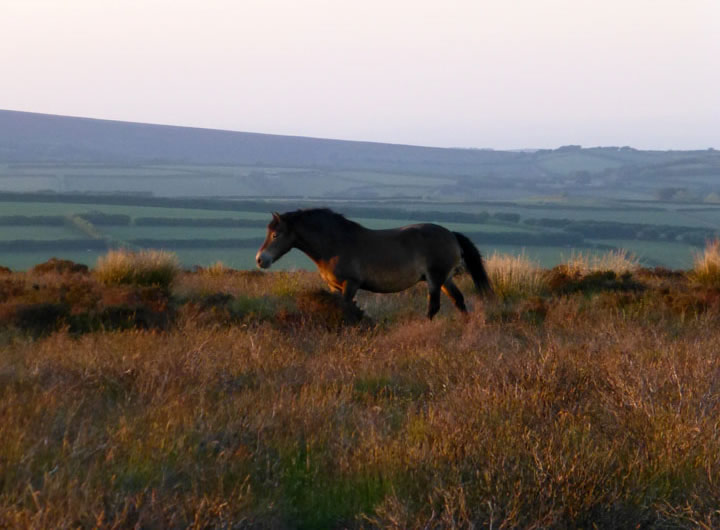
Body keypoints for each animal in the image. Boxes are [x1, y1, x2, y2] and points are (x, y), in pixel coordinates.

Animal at [255, 208, 493, 319]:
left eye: (276, 234)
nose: (260, 260)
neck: (335, 244)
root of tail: (451, 235)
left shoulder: (350, 284)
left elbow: (347, 308)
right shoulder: (334, 287)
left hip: (435, 279)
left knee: (433, 307)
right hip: (445, 278)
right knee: (458, 300)